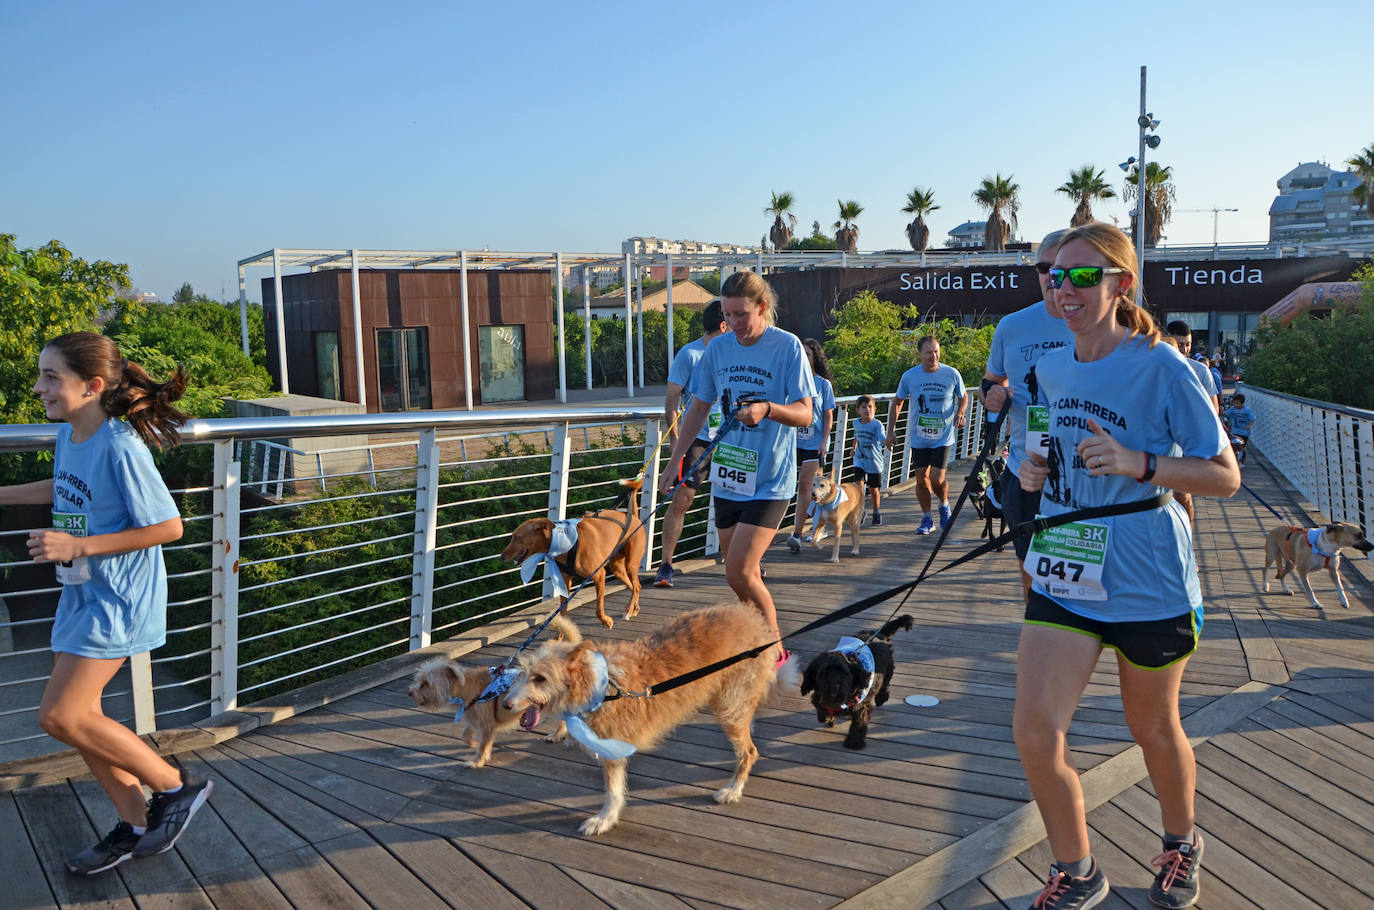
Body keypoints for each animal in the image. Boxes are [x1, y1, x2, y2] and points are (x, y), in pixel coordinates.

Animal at [406, 613, 579, 769]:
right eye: (418, 680)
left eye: (426, 683)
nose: (410, 693)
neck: (469, 691)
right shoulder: (475, 720)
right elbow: (465, 735)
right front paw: (473, 743)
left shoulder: (487, 726)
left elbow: (483, 746)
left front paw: (476, 762)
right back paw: (557, 735)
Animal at [502, 478, 645, 626]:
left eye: (517, 537)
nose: (501, 556)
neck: (563, 541)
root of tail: (633, 516)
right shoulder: (565, 580)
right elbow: (563, 612)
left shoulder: (599, 575)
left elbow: (598, 609)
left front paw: (606, 621)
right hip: (618, 568)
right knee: (636, 586)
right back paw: (633, 608)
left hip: (630, 564)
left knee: (635, 587)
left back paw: (628, 611)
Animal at [502, 602, 796, 835]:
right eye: (521, 673)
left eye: (540, 678)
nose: (506, 704)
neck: (601, 687)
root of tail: (753, 618)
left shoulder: (612, 751)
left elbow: (613, 792)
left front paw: (604, 820)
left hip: (729, 707)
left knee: (749, 751)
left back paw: (733, 790)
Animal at [796, 615, 912, 753]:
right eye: (823, 673)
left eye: (845, 673)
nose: (834, 687)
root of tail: (880, 633)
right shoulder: (819, 698)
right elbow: (821, 707)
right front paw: (827, 717)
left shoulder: (862, 705)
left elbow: (859, 722)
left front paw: (854, 742)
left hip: (887, 668)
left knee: (884, 684)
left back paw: (881, 698)